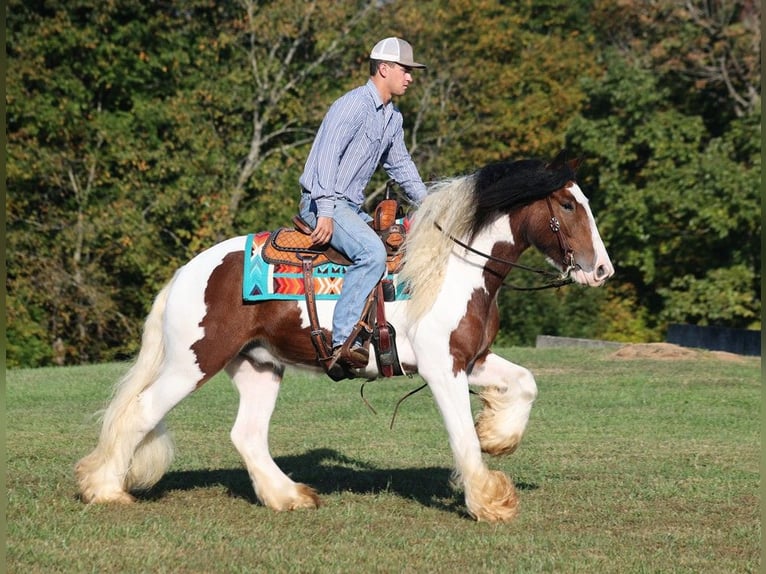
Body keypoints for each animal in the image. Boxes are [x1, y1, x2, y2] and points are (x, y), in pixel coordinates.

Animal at [75, 151, 616, 524]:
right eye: (568, 204)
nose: (602, 270)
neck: (453, 267)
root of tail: (186, 274)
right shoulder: (442, 367)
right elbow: (461, 436)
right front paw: (489, 501)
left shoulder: (471, 358)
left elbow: (525, 382)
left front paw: (499, 436)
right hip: (193, 363)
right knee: (142, 412)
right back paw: (105, 489)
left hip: (258, 366)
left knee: (246, 435)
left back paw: (289, 497)